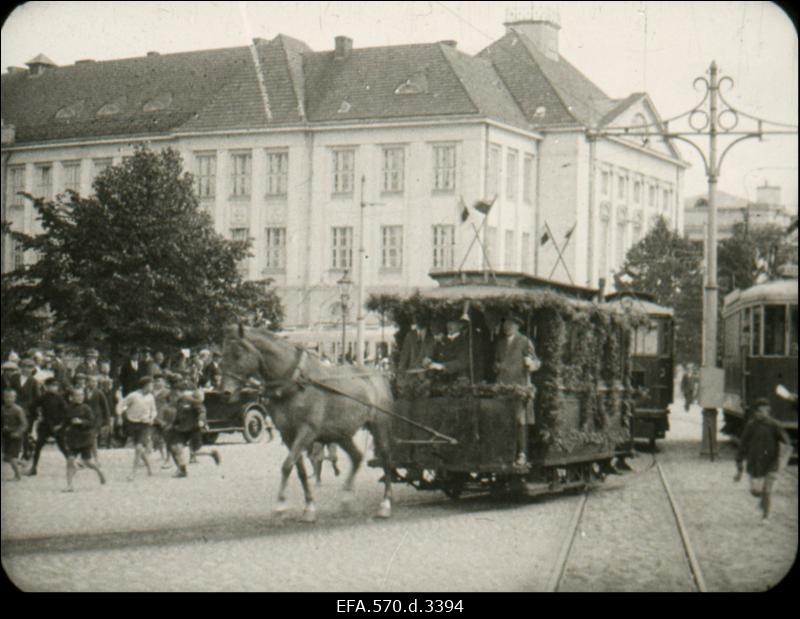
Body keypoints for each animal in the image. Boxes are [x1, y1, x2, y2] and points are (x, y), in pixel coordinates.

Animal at [220, 324, 396, 524]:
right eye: (222, 354)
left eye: (237, 354)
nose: (225, 392)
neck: (294, 382)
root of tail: (378, 374)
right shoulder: (288, 435)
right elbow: (299, 470)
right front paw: (308, 506)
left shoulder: (307, 432)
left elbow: (287, 466)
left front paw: (280, 506)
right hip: (340, 433)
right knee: (357, 457)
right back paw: (346, 499)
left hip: (379, 426)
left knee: (386, 459)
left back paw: (385, 504)